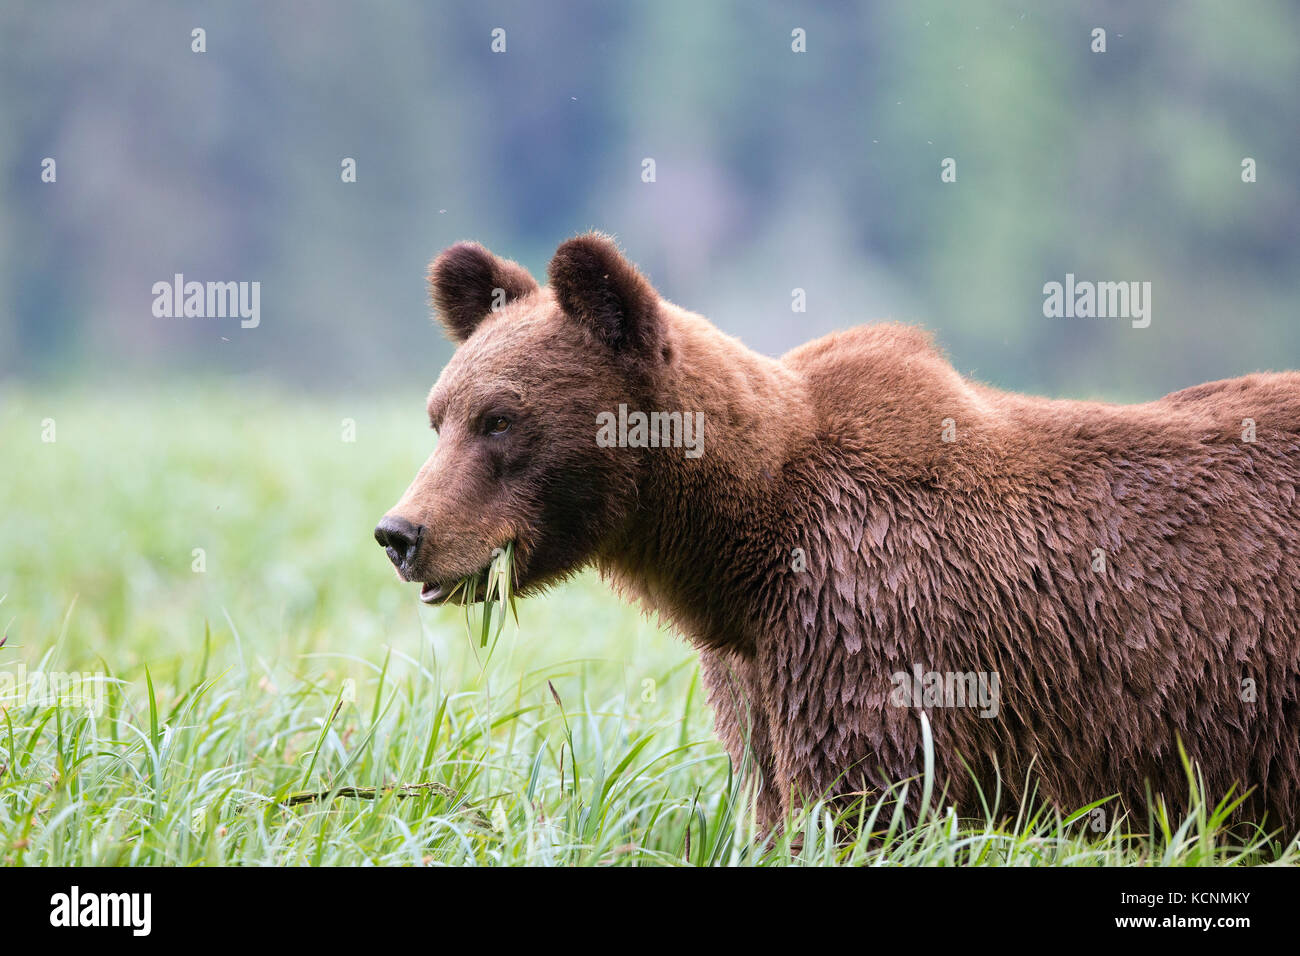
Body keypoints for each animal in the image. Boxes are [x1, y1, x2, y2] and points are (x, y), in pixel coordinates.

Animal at [377, 234, 1300, 837]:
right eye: (438, 415)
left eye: (501, 419)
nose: (402, 532)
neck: (734, 550)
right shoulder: (755, 668)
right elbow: (774, 799)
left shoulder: (866, 626)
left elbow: (857, 804)